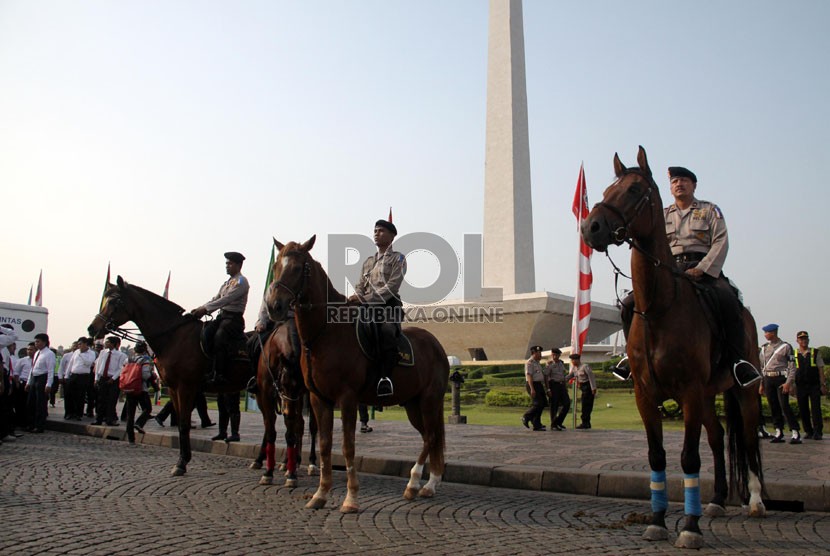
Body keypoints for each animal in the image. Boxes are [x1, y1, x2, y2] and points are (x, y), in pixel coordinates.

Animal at [87, 278, 254, 478]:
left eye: (114, 301)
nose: (92, 328)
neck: (173, 337)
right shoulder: (174, 387)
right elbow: (181, 421)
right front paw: (183, 459)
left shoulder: (186, 386)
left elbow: (184, 423)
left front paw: (181, 463)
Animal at [250, 322, 318, 486]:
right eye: (283, 383)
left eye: (299, 384)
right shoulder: (265, 395)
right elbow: (271, 430)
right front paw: (269, 471)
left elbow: (291, 431)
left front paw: (291, 475)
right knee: (297, 424)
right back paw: (290, 462)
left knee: (310, 427)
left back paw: (310, 464)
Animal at [264, 236, 448, 512]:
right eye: (276, 267)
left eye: (298, 268)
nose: (274, 306)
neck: (325, 333)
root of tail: (436, 345)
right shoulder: (319, 399)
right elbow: (325, 446)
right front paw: (321, 493)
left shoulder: (348, 398)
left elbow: (347, 446)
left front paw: (351, 498)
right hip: (412, 404)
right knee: (430, 436)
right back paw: (430, 484)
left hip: (429, 400)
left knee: (431, 436)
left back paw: (414, 483)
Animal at [580, 146, 768, 548]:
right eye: (606, 189)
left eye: (635, 190)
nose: (591, 227)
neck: (659, 308)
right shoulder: (645, 393)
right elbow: (657, 456)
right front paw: (657, 520)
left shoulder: (690, 390)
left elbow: (689, 458)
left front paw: (690, 528)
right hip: (709, 394)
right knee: (718, 437)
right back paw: (716, 500)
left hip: (744, 387)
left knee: (746, 437)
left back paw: (756, 501)